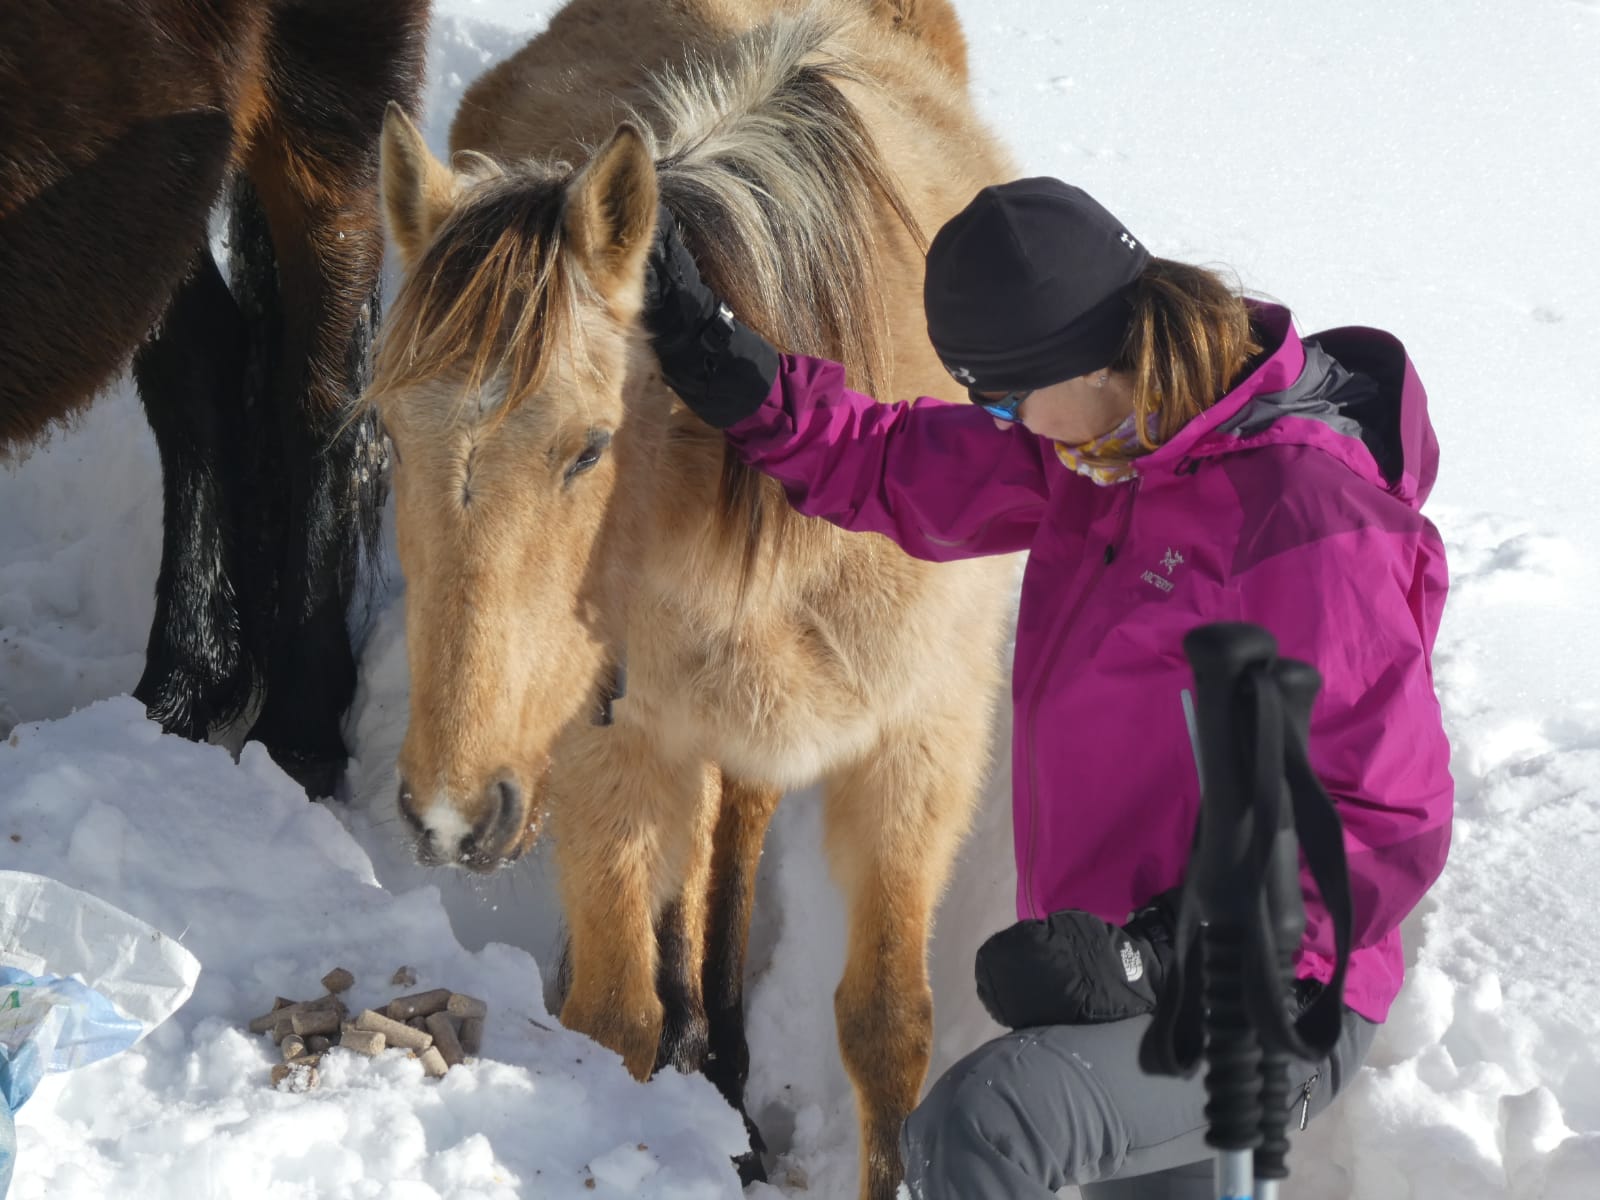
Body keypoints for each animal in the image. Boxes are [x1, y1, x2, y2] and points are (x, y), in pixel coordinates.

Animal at [376, 4, 1017, 1196]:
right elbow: (616, 1016)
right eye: (387, 434)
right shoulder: (609, 745)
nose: (448, 816)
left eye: (590, 447)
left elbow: (887, 1023)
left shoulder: (921, 742)